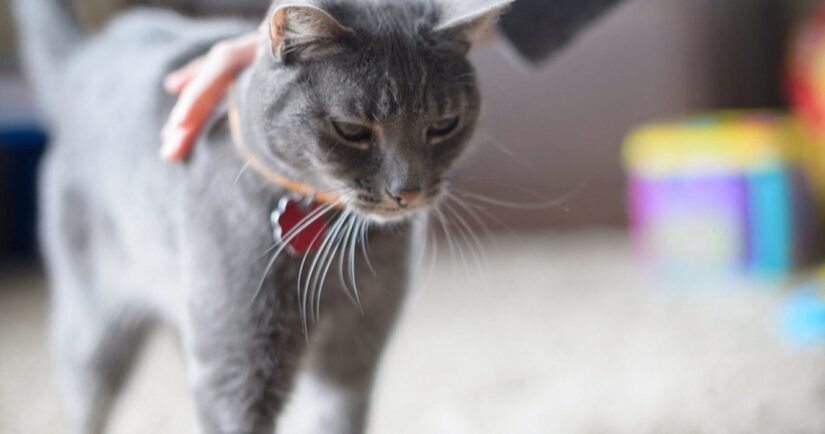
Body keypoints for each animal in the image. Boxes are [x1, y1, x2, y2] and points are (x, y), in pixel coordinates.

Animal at [14, 0, 508, 432]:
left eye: (444, 125)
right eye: (352, 130)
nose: (407, 190)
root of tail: (88, 54)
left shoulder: (354, 349)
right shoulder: (238, 367)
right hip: (95, 330)